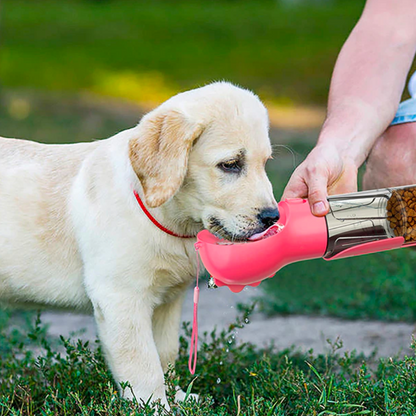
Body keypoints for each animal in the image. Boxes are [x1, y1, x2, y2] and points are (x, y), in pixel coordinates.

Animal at [0, 82, 280, 410]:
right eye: (231, 165)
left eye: (265, 163)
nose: (273, 217)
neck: (167, 219)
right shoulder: (121, 298)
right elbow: (143, 364)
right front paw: (155, 407)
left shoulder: (168, 301)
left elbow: (166, 355)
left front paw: (179, 398)